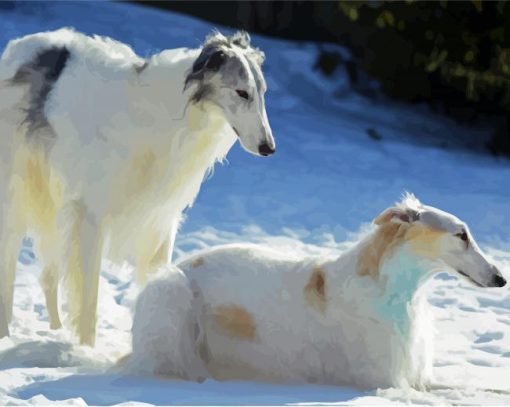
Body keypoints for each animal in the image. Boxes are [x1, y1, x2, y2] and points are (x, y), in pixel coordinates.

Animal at [0, 28, 274, 346]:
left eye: (262, 93)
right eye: (242, 92)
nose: (269, 148)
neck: (170, 116)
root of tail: (23, 44)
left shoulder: (159, 220)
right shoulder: (90, 215)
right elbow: (88, 302)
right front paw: (87, 350)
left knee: (48, 276)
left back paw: (53, 331)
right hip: (16, 194)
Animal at [130, 196, 506, 390]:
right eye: (461, 235)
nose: (501, 278)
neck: (397, 294)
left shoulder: (418, 375)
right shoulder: (385, 381)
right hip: (172, 293)